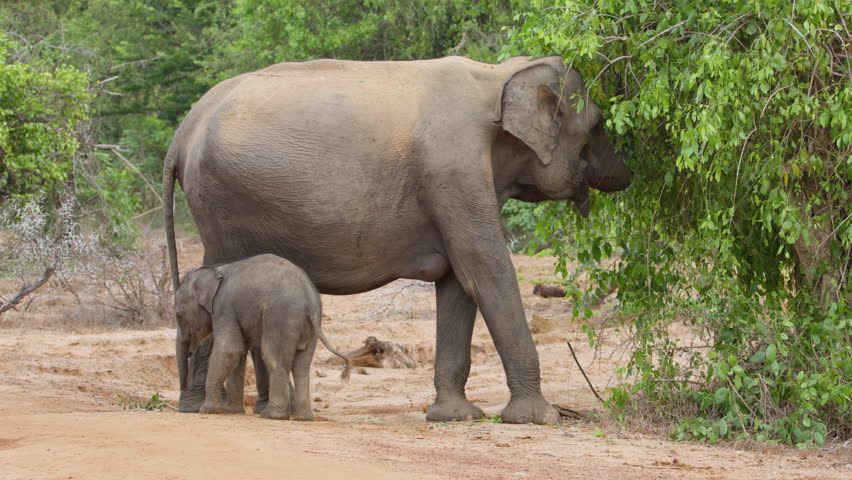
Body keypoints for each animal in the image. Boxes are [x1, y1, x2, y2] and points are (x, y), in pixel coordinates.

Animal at [175, 254, 351, 419]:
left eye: (178, 316)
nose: (184, 387)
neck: (214, 271)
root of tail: (310, 303)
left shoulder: (223, 309)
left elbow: (229, 350)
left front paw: (207, 410)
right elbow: (238, 353)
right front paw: (231, 411)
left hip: (281, 317)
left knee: (274, 359)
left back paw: (271, 415)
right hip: (310, 326)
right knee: (301, 366)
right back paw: (303, 418)